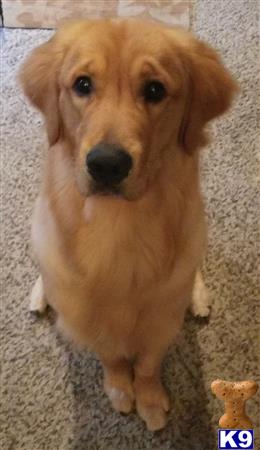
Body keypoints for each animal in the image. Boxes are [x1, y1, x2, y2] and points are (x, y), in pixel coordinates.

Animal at [19, 19, 237, 430]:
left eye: (154, 90)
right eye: (83, 85)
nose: (106, 164)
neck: (119, 224)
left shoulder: (161, 320)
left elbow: (148, 364)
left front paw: (149, 399)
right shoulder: (91, 318)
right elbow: (113, 357)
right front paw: (120, 387)